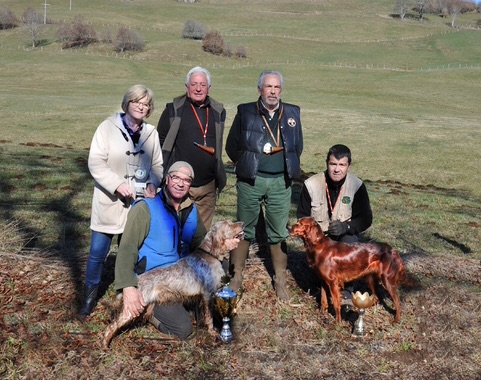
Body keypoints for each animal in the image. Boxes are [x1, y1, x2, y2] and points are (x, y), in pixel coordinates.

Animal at [101, 220, 244, 348]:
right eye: (228, 224)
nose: (242, 223)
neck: (210, 255)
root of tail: (137, 281)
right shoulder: (207, 294)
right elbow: (209, 318)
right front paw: (213, 332)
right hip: (135, 307)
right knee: (111, 326)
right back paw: (105, 345)